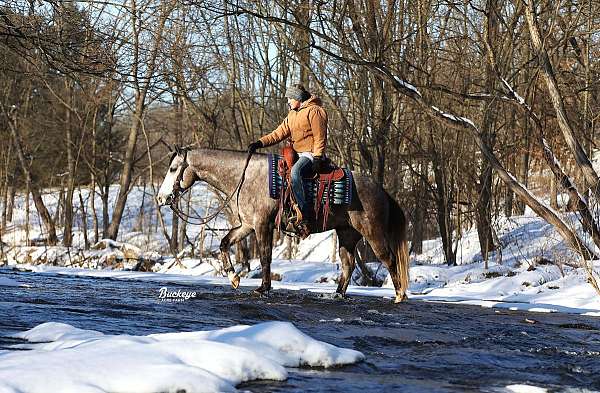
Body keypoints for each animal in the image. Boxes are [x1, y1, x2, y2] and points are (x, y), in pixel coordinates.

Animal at [154, 147, 412, 304]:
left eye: (173, 169)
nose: (160, 198)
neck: (245, 177)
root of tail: (380, 190)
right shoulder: (247, 225)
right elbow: (224, 243)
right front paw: (233, 278)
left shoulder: (262, 225)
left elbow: (265, 256)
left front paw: (263, 288)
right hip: (347, 234)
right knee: (348, 265)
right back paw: (337, 295)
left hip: (372, 232)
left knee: (389, 259)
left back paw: (399, 295)